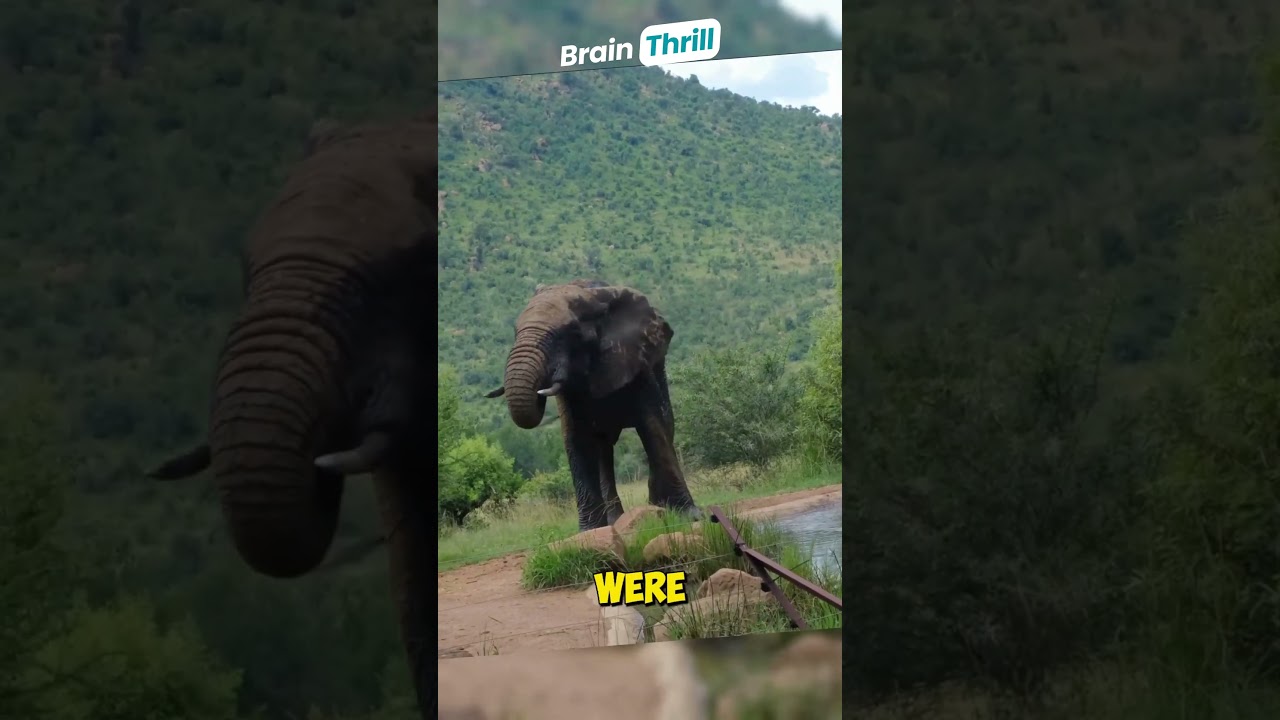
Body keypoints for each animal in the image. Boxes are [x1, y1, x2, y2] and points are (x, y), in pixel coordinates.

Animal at [484, 280, 699, 531]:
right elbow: (576, 440)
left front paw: (689, 516)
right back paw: (616, 521)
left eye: (572, 333)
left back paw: (656, 507)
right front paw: (591, 531)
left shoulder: (635, 361)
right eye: (515, 331)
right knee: (604, 451)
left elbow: (652, 427)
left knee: (665, 426)